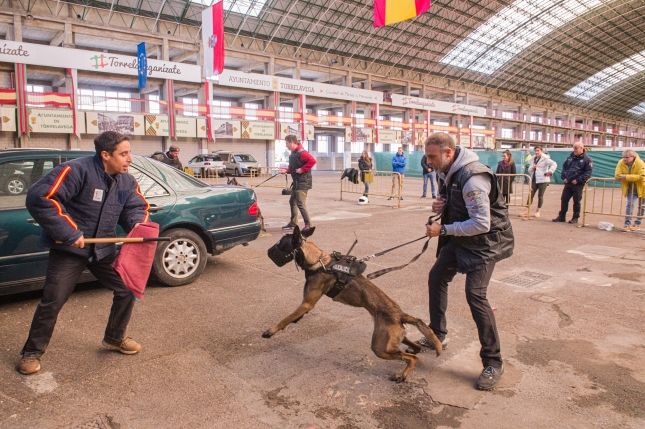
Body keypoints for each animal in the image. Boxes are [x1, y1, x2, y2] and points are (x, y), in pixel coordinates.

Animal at [262, 226, 442, 382]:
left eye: (279, 243)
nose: (267, 251)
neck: (319, 262)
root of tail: (400, 314)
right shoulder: (305, 304)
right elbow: (293, 316)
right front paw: (293, 321)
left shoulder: (307, 303)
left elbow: (285, 318)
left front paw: (271, 331)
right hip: (393, 340)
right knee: (415, 350)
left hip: (379, 347)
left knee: (412, 358)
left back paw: (402, 375)